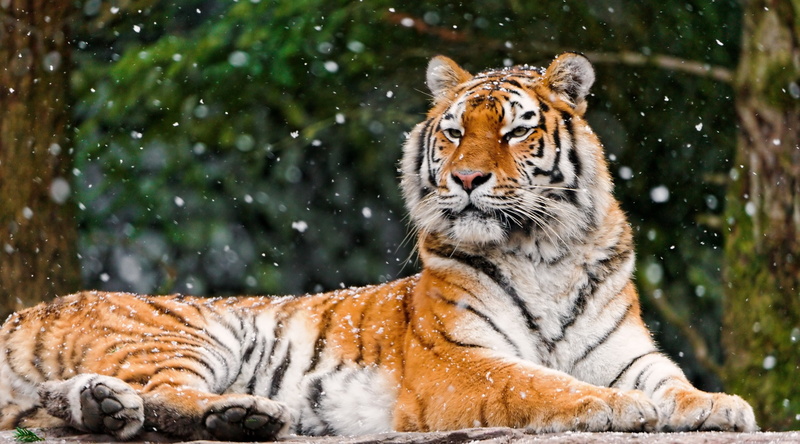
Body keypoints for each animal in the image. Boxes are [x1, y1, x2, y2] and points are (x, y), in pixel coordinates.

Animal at [0, 53, 756, 441]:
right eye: (454, 131)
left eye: (515, 131)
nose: (468, 179)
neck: (545, 252)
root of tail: (27, 310)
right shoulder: (459, 360)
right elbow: (537, 382)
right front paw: (613, 407)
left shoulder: (626, 351)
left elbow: (671, 380)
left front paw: (720, 406)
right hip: (183, 333)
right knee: (163, 395)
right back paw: (241, 413)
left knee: (90, 400)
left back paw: (114, 409)